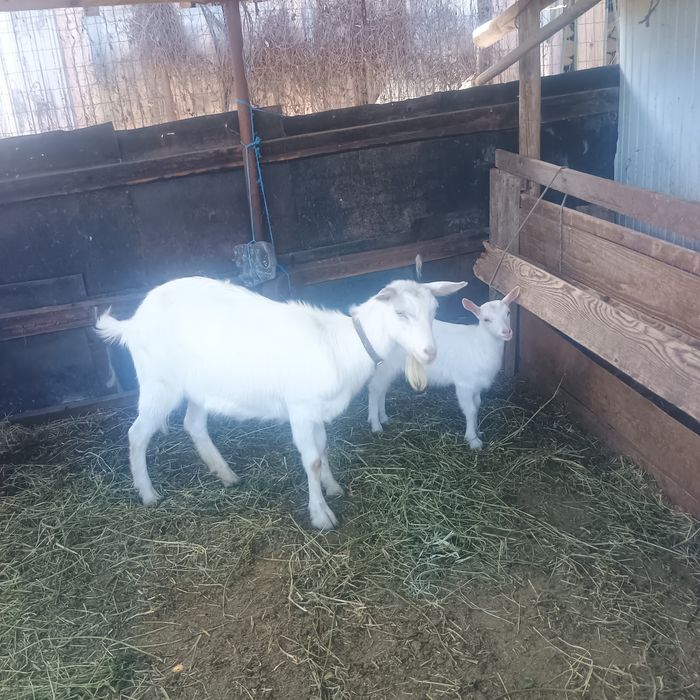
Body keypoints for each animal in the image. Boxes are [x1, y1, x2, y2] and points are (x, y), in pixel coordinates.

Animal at [96, 276, 466, 529]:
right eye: (401, 313)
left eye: (434, 311)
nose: (429, 352)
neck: (340, 346)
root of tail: (132, 322)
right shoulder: (300, 408)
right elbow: (311, 461)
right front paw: (321, 515)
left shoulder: (316, 411)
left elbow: (323, 449)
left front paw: (333, 488)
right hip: (159, 383)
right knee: (137, 434)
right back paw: (148, 494)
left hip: (199, 385)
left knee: (194, 425)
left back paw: (227, 475)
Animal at [367, 287, 520, 448]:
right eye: (486, 319)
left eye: (508, 312)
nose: (506, 332)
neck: (479, 344)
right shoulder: (464, 383)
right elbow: (471, 410)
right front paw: (473, 439)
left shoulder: (476, 383)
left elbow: (477, 405)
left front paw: (478, 431)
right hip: (383, 364)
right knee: (375, 389)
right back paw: (376, 425)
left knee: (382, 389)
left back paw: (383, 418)